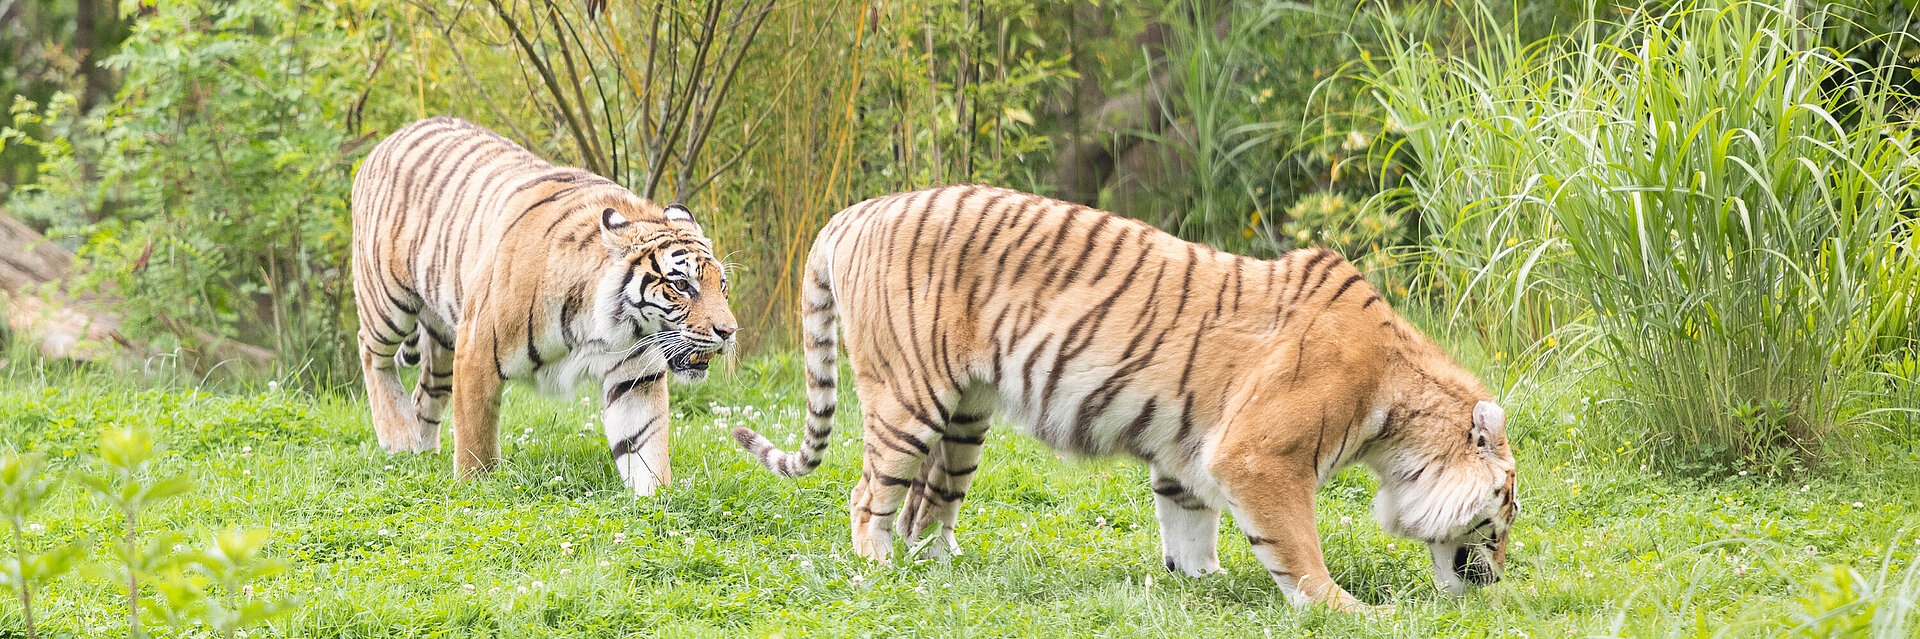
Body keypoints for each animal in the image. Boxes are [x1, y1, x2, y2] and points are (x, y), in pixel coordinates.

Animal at [351, 116, 737, 496]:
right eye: (681, 285)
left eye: (722, 285)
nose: (729, 331)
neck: (612, 328)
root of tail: (388, 139)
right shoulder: (476, 351)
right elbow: (476, 439)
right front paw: (474, 489)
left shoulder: (635, 377)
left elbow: (646, 444)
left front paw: (656, 499)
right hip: (387, 298)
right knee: (371, 352)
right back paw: (398, 435)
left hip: (444, 338)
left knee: (426, 392)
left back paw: (420, 452)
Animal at [732, 184, 1518, 610]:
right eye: (1503, 516)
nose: (1498, 582)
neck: (1399, 417)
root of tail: (854, 211)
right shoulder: (1261, 455)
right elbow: (1297, 547)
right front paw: (1344, 608)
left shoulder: (1190, 453)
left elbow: (1190, 525)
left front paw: (1202, 582)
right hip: (907, 396)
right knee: (869, 494)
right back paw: (881, 570)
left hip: (966, 415)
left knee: (928, 507)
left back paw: (949, 574)